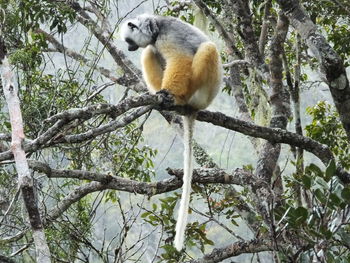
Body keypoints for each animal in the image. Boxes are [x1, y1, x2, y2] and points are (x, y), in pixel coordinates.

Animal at [121, 14, 221, 252]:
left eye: (128, 40)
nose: (129, 48)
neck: (156, 27)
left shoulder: (168, 38)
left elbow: (180, 59)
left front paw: (168, 93)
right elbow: (152, 50)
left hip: (202, 91)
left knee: (207, 49)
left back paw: (177, 98)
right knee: (150, 51)